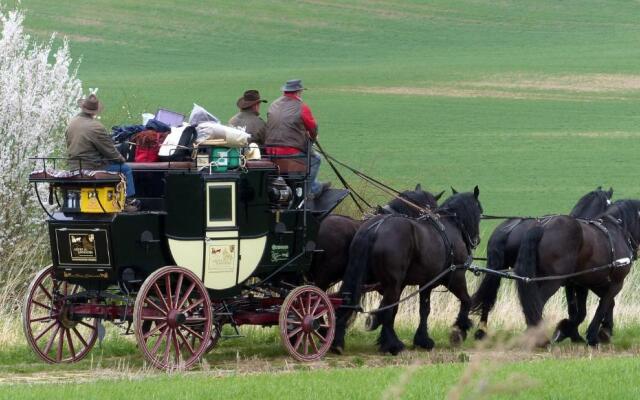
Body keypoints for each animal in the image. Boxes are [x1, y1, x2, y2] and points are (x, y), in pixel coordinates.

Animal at [332, 186, 482, 354]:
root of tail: (374, 229)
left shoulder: (425, 284)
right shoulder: (455, 276)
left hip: (361, 277)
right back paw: (393, 345)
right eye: (479, 212)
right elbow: (466, 300)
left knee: (346, 302)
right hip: (393, 284)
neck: (450, 225)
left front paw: (422, 339)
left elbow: (423, 309)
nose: (476, 240)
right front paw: (459, 331)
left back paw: (337, 342)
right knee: (385, 311)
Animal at [472, 188, 612, 340]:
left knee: (489, 296)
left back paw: (482, 331)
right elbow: (576, 309)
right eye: (608, 204)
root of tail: (509, 229)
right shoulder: (572, 283)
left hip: (497, 269)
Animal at [516, 200, 636, 346]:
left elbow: (588, 309)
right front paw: (592, 336)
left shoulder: (585, 283)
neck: (617, 232)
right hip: (552, 281)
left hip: (535, 279)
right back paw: (541, 339)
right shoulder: (616, 283)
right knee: (537, 303)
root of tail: (542, 227)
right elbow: (602, 305)